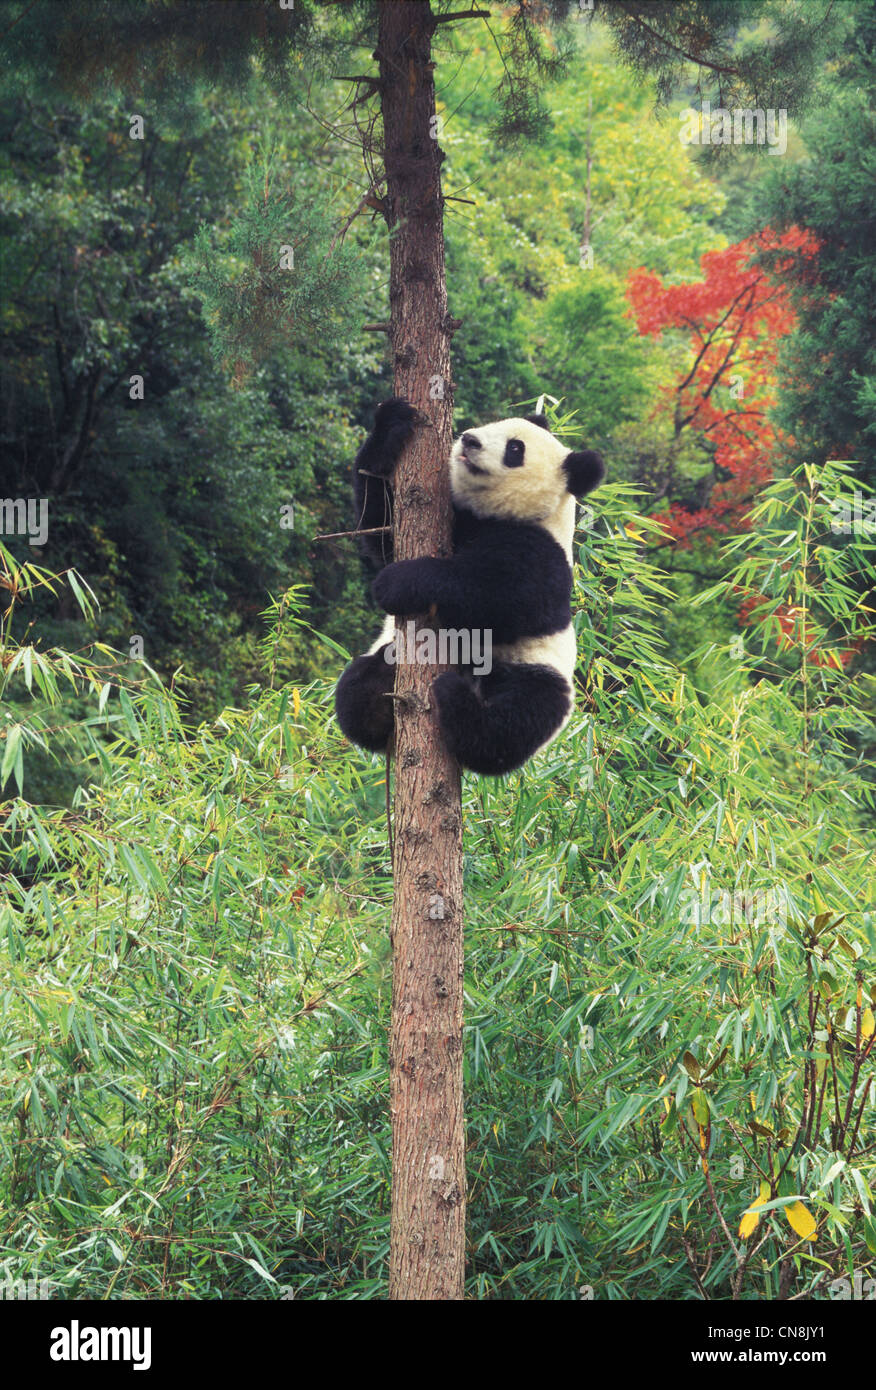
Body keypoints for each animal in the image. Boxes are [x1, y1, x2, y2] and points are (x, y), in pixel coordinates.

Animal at [335, 397, 605, 775]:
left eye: (515, 448)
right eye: (494, 424)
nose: (469, 439)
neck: (493, 515)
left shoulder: (542, 555)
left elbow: (503, 600)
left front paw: (396, 583)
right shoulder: (457, 516)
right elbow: (380, 527)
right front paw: (393, 422)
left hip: (537, 671)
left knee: (514, 724)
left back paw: (457, 701)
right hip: (382, 654)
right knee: (356, 687)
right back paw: (378, 700)